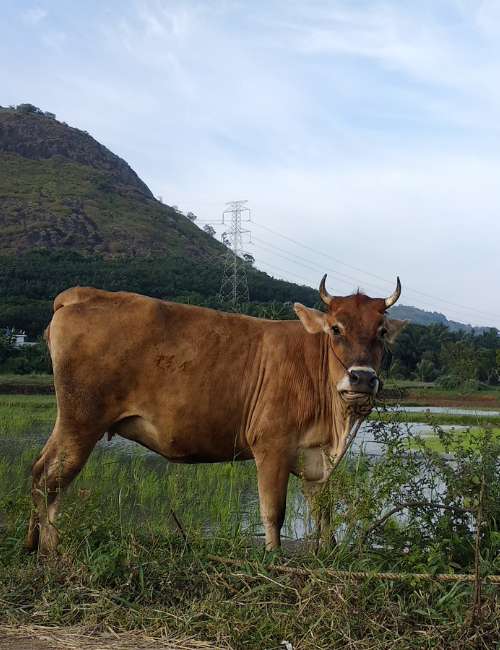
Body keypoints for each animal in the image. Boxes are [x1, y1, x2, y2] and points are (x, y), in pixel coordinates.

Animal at [26, 275, 407, 555]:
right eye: (336, 328)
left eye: (381, 332)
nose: (362, 378)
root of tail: (80, 294)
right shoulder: (272, 446)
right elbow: (274, 512)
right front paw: (273, 560)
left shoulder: (316, 459)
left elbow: (324, 515)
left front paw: (326, 554)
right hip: (80, 420)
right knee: (49, 477)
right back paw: (51, 548)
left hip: (72, 422)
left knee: (40, 470)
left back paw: (33, 544)